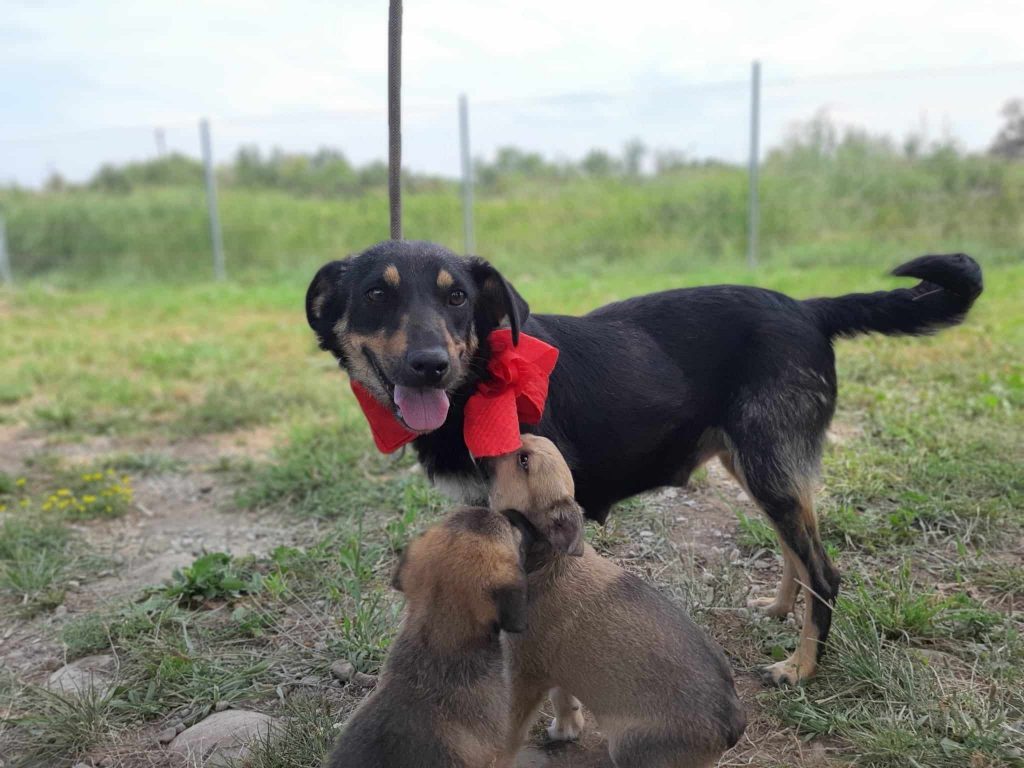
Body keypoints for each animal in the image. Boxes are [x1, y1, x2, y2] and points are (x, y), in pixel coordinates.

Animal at [305, 241, 983, 684]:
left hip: (768, 463)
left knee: (826, 570)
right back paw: (779, 609)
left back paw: (800, 667)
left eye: (457, 299)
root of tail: (809, 308)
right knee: (798, 548)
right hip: (757, 464)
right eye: (376, 294)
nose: (429, 365)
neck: (483, 380)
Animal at [487, 438, 745, 768]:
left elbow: (510, 732)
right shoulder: (554, 670)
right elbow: (564, 698)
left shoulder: (523, 676)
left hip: (629, 748)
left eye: (523, 461)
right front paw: (566, 729)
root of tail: (733, 723)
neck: (548, 560)